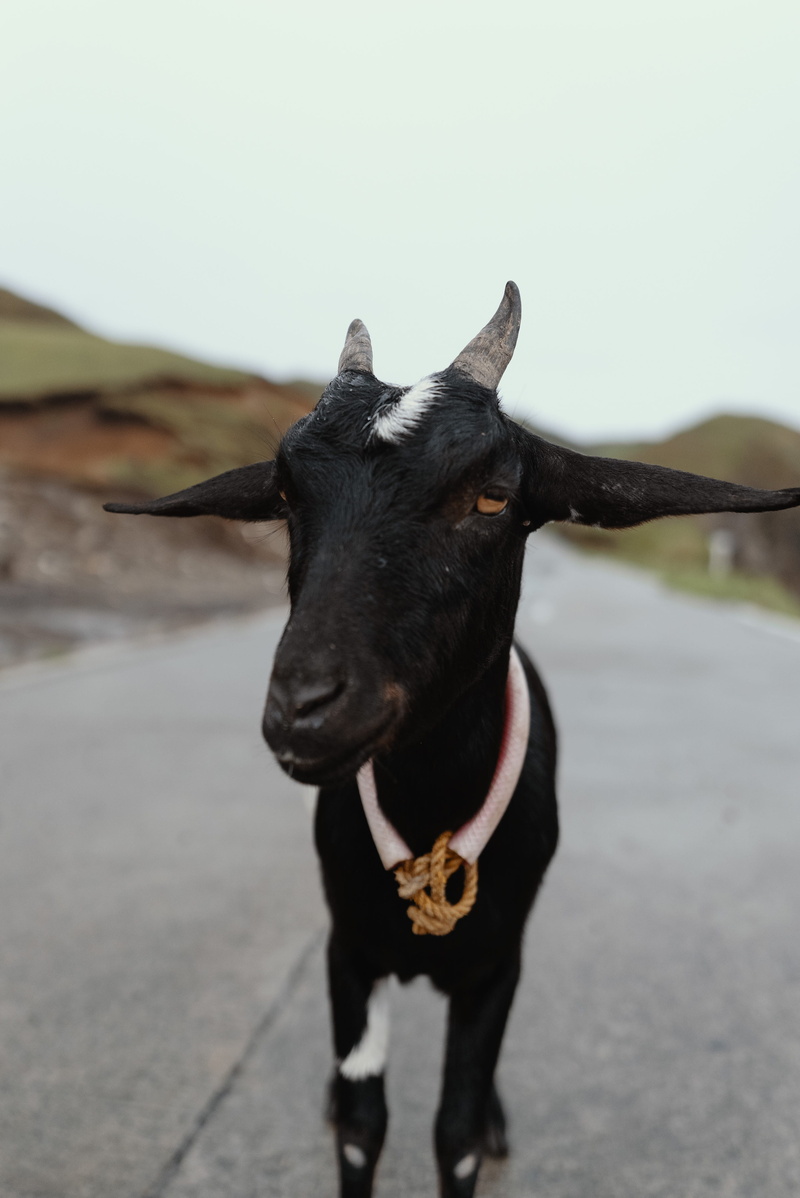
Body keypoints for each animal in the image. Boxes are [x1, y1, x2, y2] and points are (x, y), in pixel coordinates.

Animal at [105, 283, 800, 1198]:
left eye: (494, 496)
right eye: (286, 495)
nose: (304, 707)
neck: (431, 807)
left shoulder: (494, 967)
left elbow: (457, 1128)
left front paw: (482, 1126)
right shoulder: (348, 951)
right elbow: (363, 1125)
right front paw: (346, 1114)